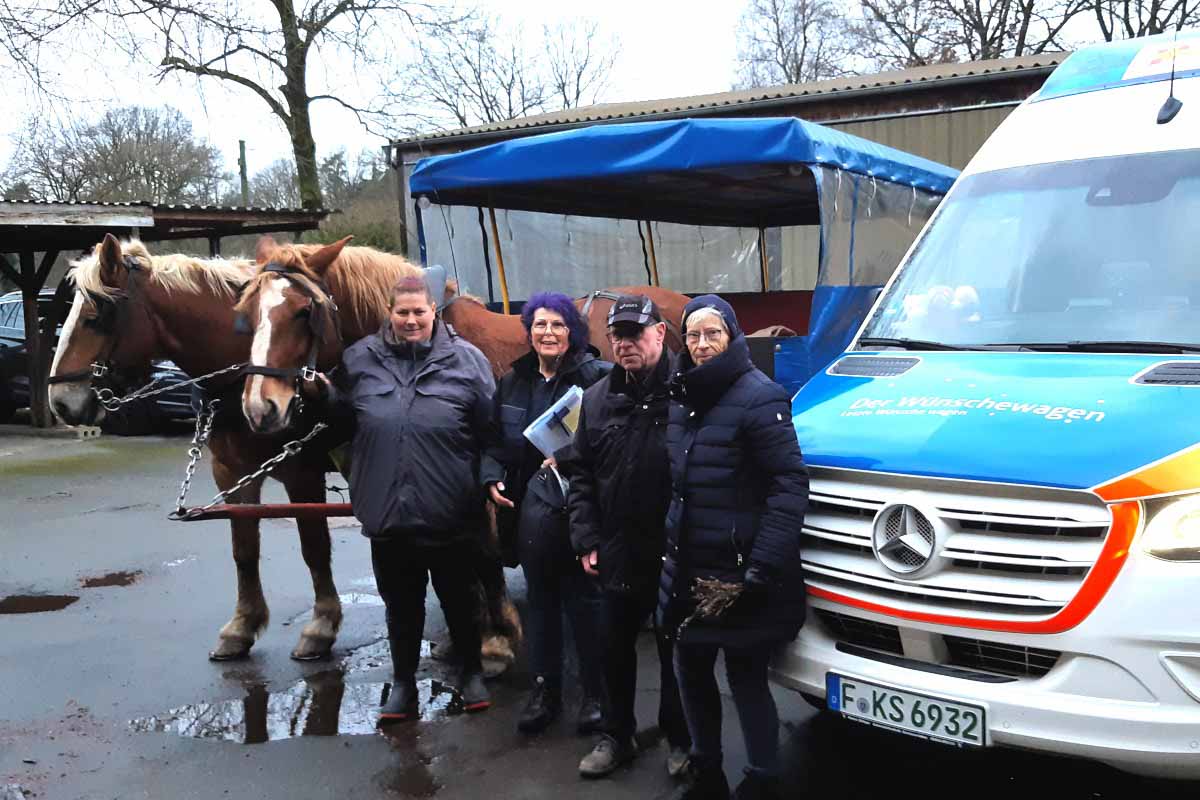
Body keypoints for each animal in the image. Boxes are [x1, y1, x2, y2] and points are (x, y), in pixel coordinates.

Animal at [46, 236, 345, 662]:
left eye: (94, 316)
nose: (60, 402)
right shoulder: (232, 471)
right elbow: (243, 549)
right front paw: (242, 625)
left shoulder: (303, 471)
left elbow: (314, 545)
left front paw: (321, 625)